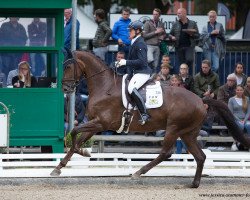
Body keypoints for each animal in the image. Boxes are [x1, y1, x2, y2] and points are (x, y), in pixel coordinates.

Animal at [50, 49, 250, 188]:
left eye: (68, 66)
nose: (66, 88)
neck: (104, 86)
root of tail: (201, 99)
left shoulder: (101, 122)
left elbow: (74, 132)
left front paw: (81, 153)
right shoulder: (95, 124)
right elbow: (77, 139)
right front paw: (60, 166)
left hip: (174, 128)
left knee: (166, 153)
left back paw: (139, 172)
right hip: (187, 133)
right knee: (200, 156)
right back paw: (194, 184)